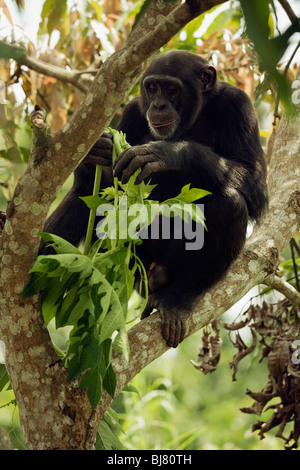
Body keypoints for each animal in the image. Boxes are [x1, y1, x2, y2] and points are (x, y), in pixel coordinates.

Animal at [41, 50, 268, 348]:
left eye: (171, 88)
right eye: (151, 87)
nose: (158, 104)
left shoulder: (239, 108)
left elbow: (256, 184)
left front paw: (168, 153)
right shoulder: (132, 112)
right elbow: (109, 183)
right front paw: (96, 150)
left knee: (229, 202)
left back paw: (177, 300)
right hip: (135, 266)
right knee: (86, 197)